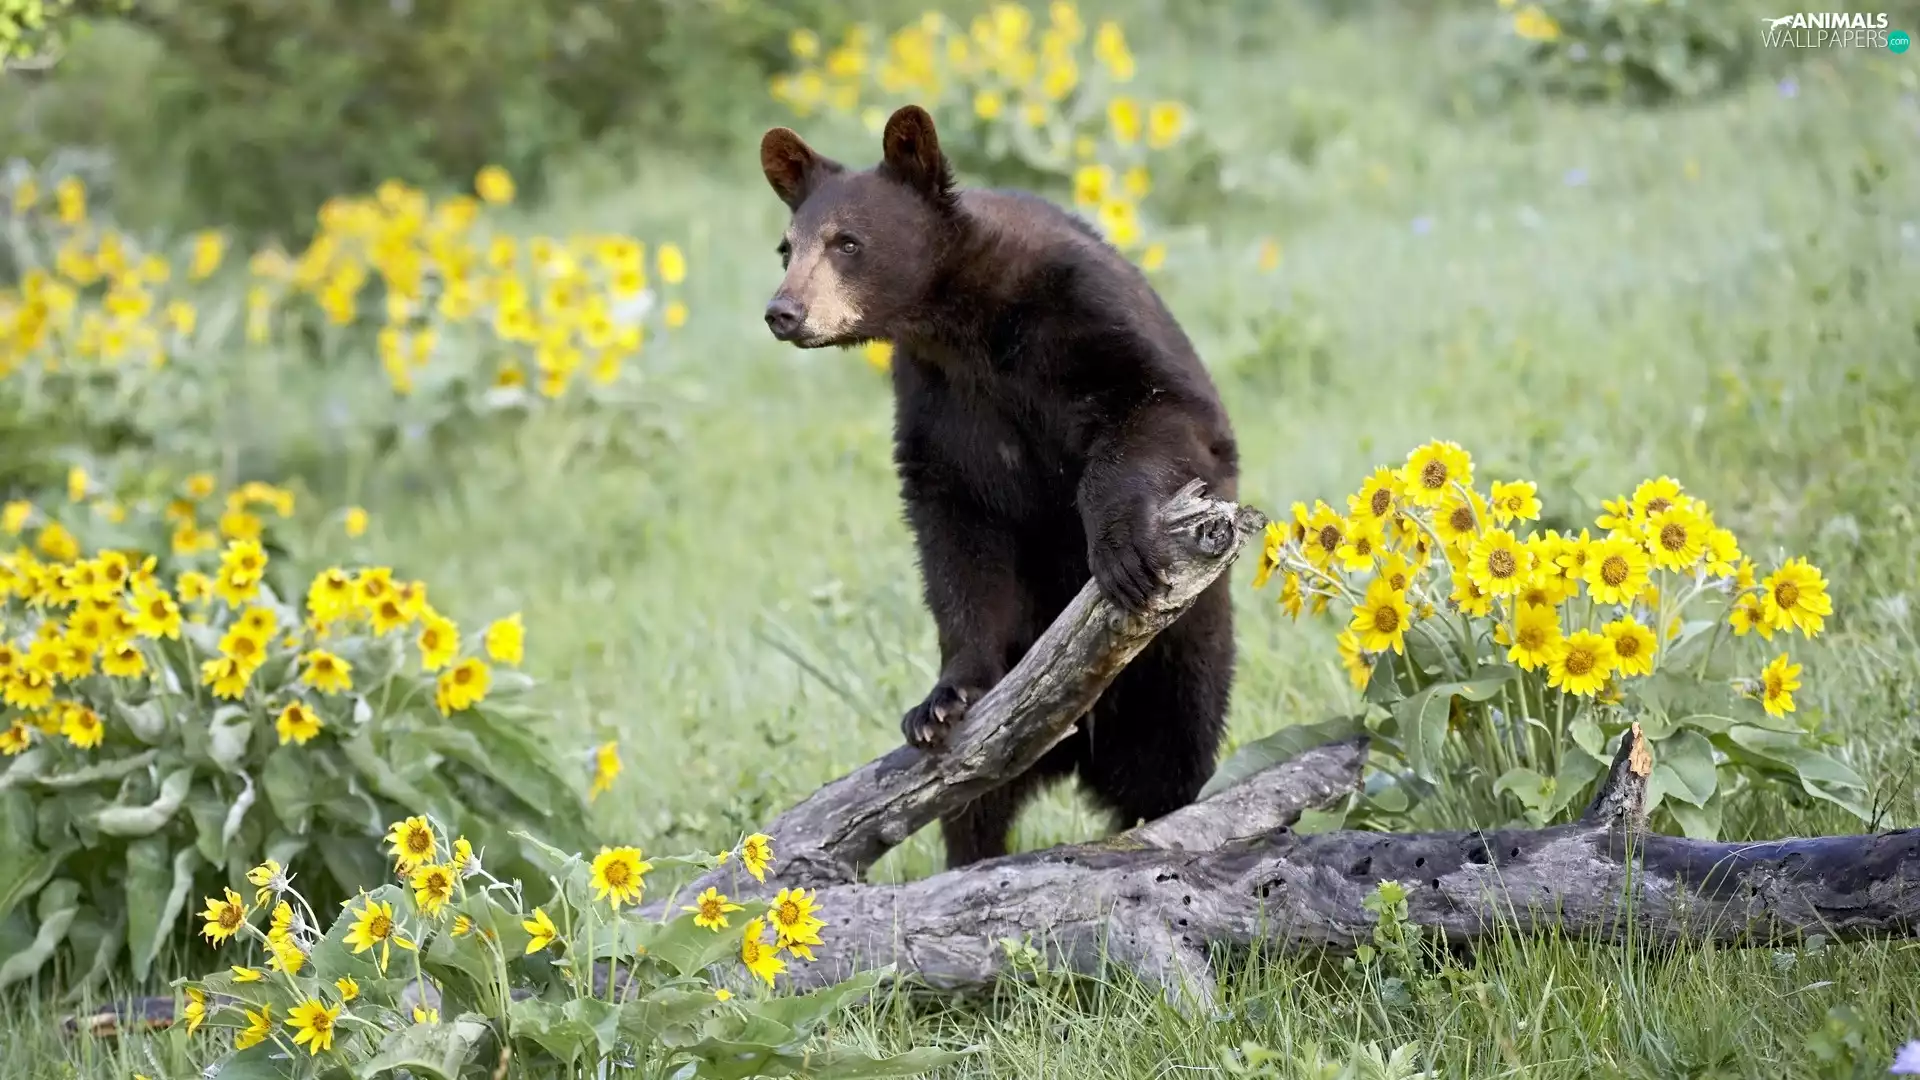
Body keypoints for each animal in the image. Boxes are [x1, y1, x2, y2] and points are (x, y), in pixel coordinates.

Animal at [758, 104, 1239, 869]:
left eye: (848, 242)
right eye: (787, 248)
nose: (783, 311)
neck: (965, 324)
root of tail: (1079, 754)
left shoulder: (1087, 311)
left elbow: (1164, 410)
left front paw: (1121, 552)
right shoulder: (939, 400)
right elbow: (957, 533)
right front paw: (942, 699)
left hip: (1180, 660)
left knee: (1174, 757)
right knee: (973, 807)